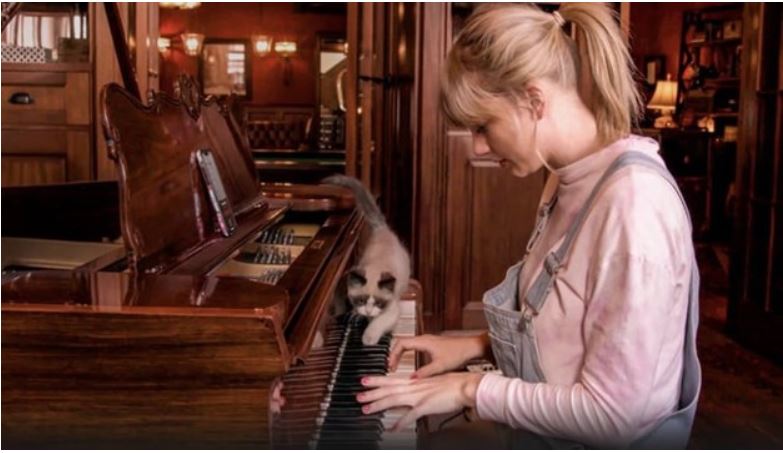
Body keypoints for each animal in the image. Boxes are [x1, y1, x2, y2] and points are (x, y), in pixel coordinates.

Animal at [324, 175, 414, 344]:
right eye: (361, 301)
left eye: (378, 303)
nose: (369, 311)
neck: (375, 268)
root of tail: (382, 229)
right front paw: (360, 317)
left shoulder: (391, 310)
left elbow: (378, 322)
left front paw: (368, 338)